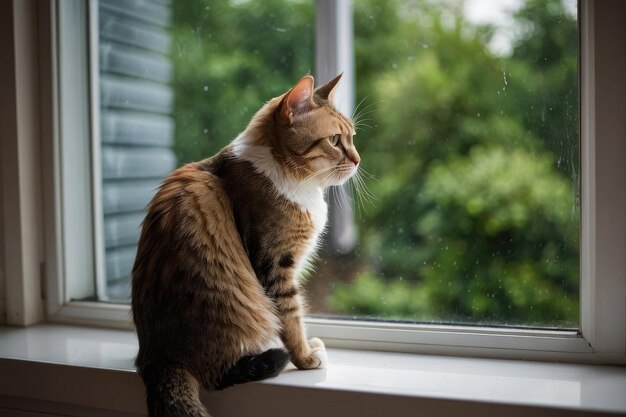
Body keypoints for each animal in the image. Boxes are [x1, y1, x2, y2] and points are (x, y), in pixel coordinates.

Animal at [129, 73, 358, 414]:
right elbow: (291, 317)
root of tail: (158, 358)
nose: (358, 160)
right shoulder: (275, 265)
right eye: (334, 141)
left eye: (353, 138)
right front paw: (306, 357)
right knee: (221, 373)